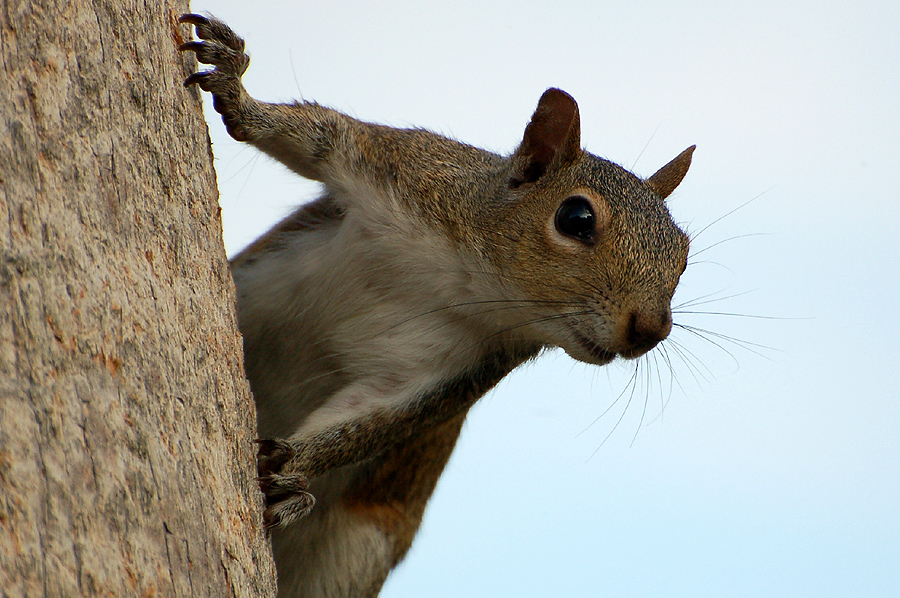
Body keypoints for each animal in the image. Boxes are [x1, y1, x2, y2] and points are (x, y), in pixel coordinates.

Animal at [178, 12, 696, 598]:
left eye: (683, 257)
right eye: (576, 218)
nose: (650, 329)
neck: (461, 278)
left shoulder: (452, 368)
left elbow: (374, 421)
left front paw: (292, 464)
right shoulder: (403, 167)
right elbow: (314, 134)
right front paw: (237, 89)